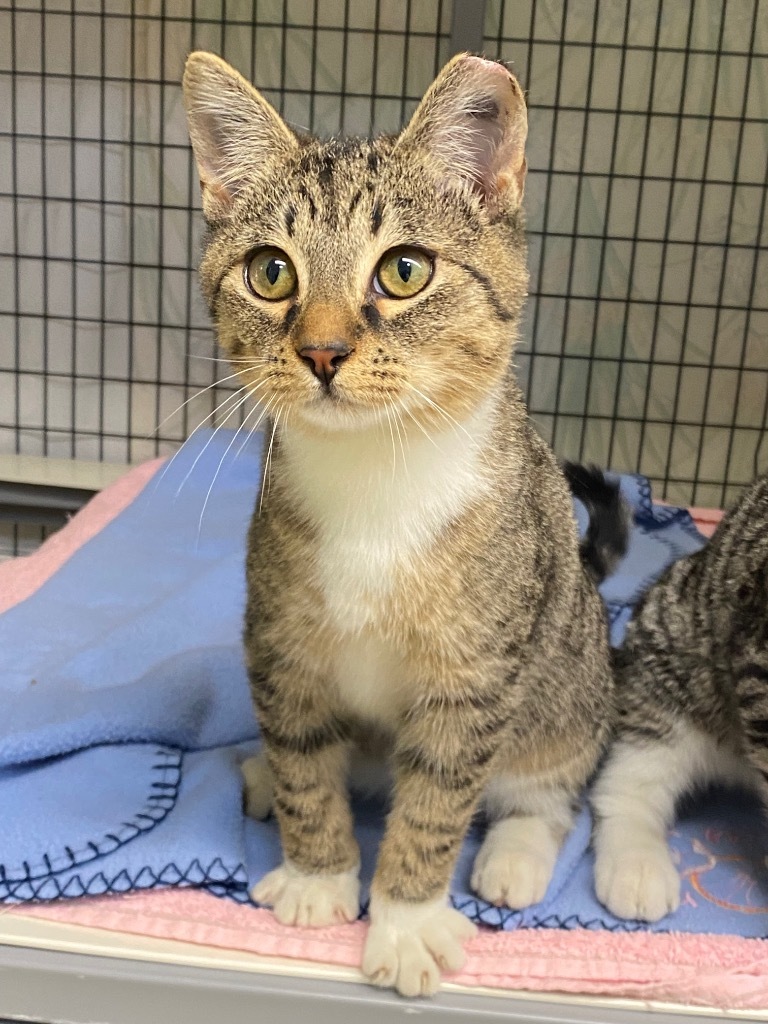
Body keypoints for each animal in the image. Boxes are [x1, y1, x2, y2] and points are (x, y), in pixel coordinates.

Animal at [185, 51, 618, 995]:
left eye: (406, 270)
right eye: (271, 272)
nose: (321, 350)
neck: (375, 483)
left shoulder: (476, 676)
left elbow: (438, 801)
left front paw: (407, 919)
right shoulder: (280, 638)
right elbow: (305, 759)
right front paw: (318, 876)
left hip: (566, 679)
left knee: (547, 783)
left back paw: (517, 854)